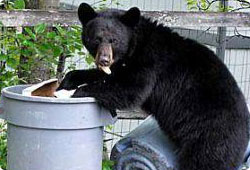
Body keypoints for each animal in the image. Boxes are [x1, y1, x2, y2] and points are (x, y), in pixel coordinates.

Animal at [57, 2, 250, 170]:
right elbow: (108, 75)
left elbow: (130, 89)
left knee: (205, 161)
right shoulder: (122, 64)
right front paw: (67, 81)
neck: (135, 44)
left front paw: (76, 92)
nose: (104, 59)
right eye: (96, 39)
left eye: (114, 40)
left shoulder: (150, 62)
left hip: (212, 138)